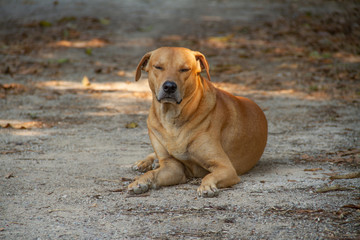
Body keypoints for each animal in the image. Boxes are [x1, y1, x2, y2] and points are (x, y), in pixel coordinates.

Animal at [127, 47, 268, 197]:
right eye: (158, 67)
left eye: (184, 69)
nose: (169, 86)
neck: (172, 118)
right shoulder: (172, 166)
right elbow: (152, 174)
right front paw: (140, 181)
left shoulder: (226, 167)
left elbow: (209, 175)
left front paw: (207, 186)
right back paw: (145, 162)